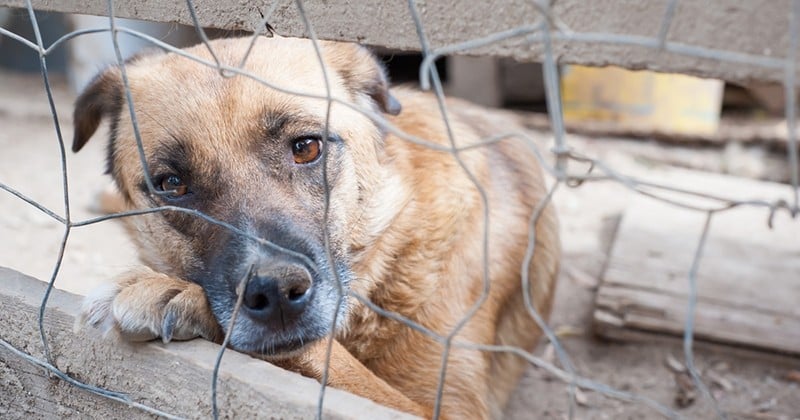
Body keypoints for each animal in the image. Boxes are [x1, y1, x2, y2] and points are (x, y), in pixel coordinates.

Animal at [72, 35, 560, 416]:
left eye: (306, 147)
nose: (275, 292)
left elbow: (328, 356)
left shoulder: (445, 409)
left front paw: (174, 292)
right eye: (172, 184)